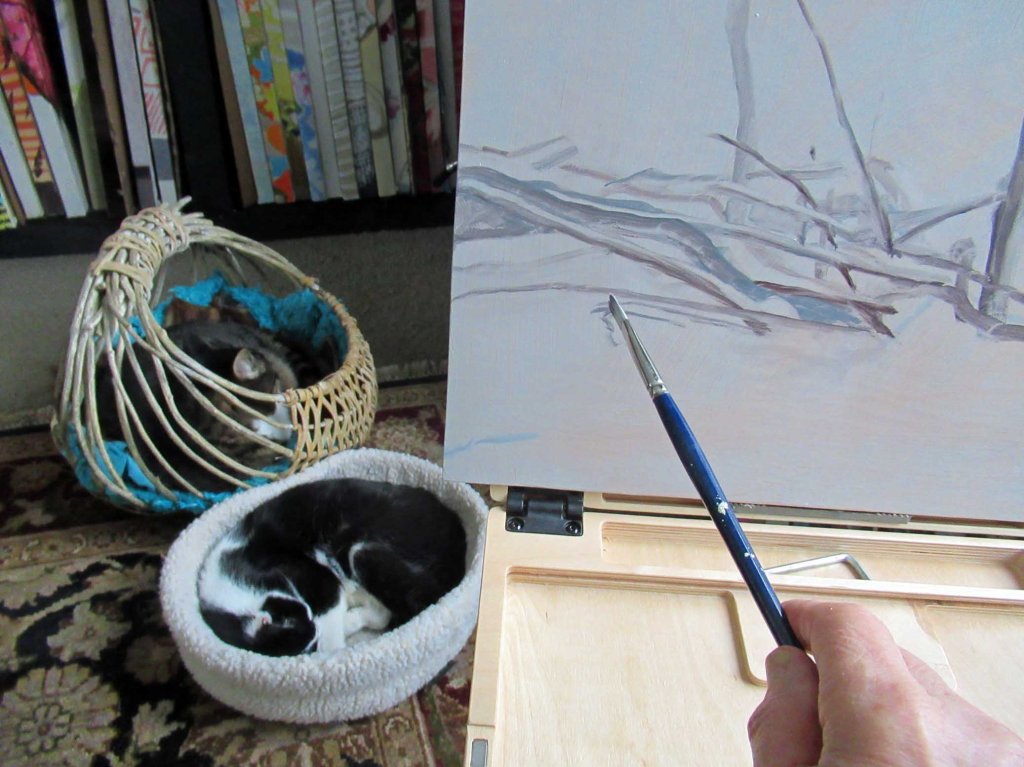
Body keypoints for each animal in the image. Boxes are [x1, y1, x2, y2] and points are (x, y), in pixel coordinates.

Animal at [198, 478, 468, 656]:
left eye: (302, 617)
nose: (314, 628)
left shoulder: (315, 578)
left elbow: (332, 623)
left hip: (363, 552)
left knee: (414, 604)